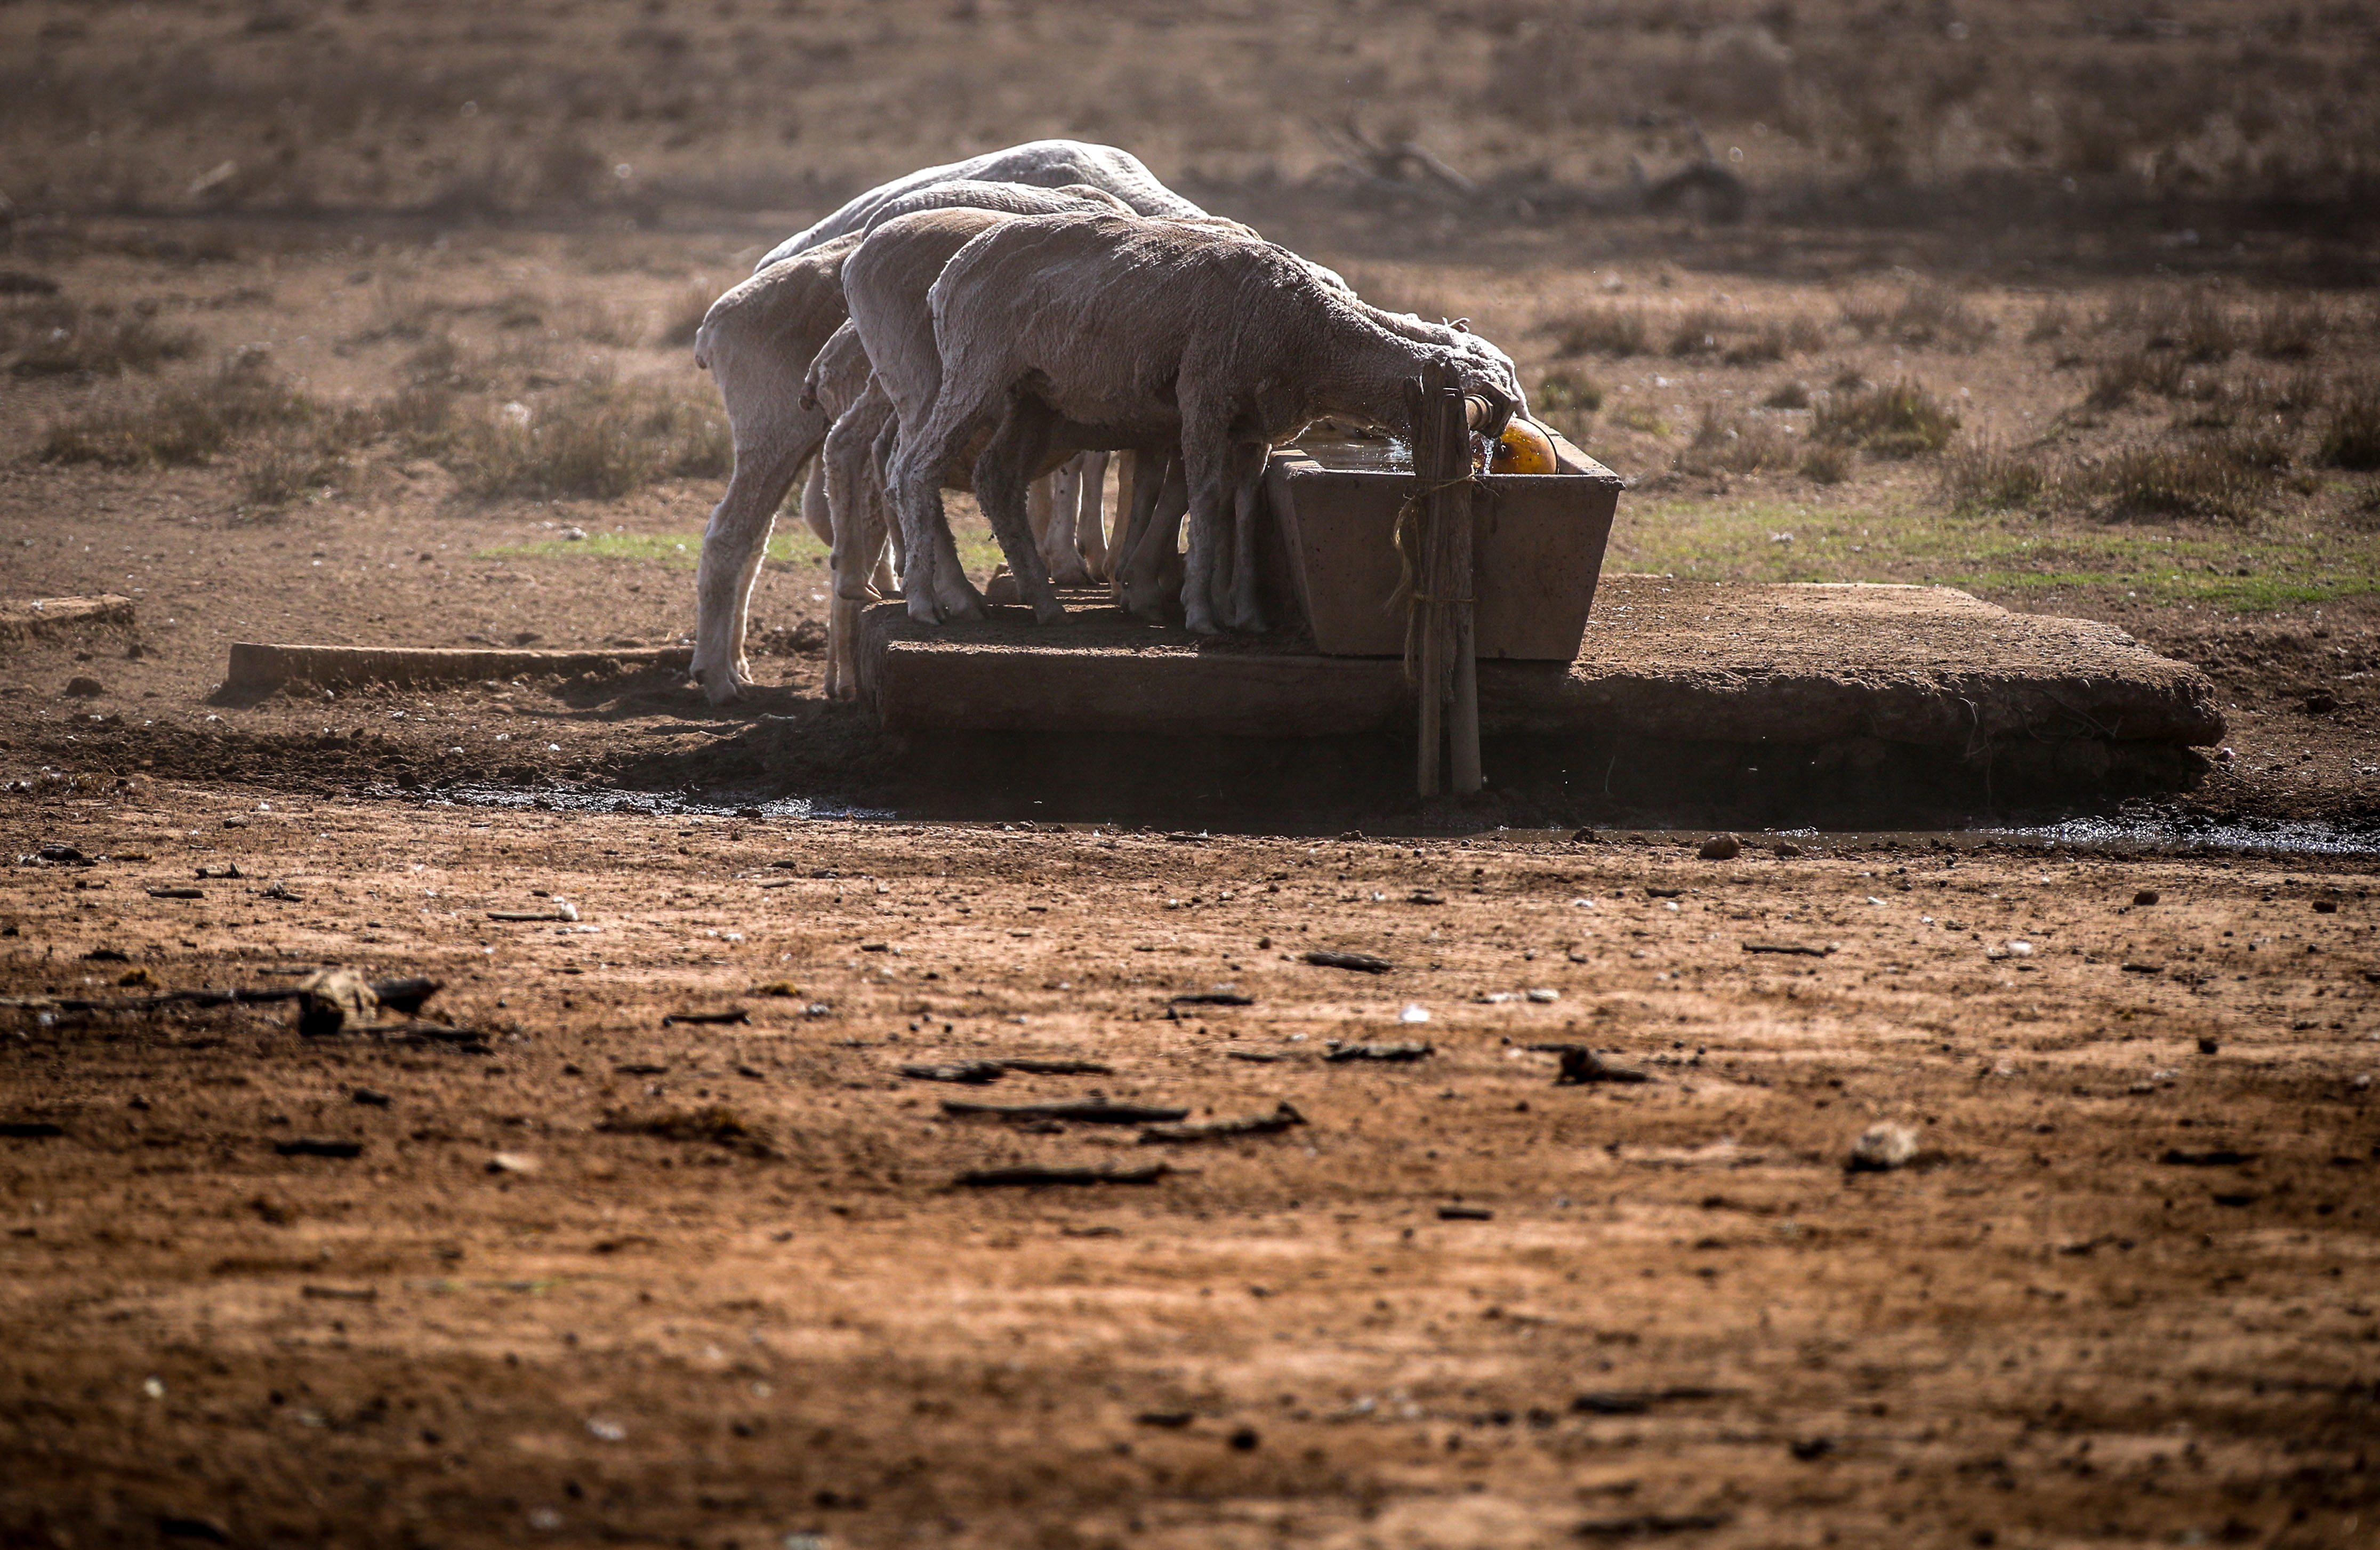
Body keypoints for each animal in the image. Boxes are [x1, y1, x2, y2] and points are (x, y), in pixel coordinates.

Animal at [895, 212, 1523, 638]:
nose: (1493, 452)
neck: (1313, 333)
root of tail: (950, 273)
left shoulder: (1256, 429)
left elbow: (1240, 506)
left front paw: (1245, 611)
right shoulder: (1204, 394)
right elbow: (1203, 496)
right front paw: (1199, 611)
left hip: (1036, 399)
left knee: (996, 479)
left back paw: (1044, 603)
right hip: (975, 368)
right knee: (914, 468)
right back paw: (927, 602)